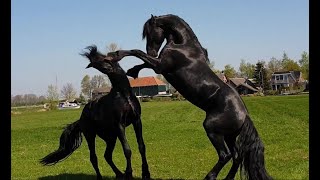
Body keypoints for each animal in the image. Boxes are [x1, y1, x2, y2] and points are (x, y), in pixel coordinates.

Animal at [38, 45, 150, 179]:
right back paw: (104, 177)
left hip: (110, 137)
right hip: (91, 135)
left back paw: (119, 174)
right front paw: (129, 173)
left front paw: (146, 173)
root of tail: (80, 119)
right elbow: (127, 150)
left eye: (104, 58)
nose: (108, 68)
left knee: (107, 156)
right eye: (96, 64)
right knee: (94, 158)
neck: (124, 95)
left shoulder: (136, 120)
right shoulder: (120, 125)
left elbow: (142, 146)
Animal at [106, 14, 272, 180]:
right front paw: (132, 71)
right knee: (236, 156)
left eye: (149, 32)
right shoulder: (159, 64)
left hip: (212, 129)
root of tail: (244, 115)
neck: (183, 45)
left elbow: (138, 52)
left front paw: (116, 55)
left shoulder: (160, 65)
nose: (152, 51)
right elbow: (143, 62)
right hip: (229, 136)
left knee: (225, 155)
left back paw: (209, 177)